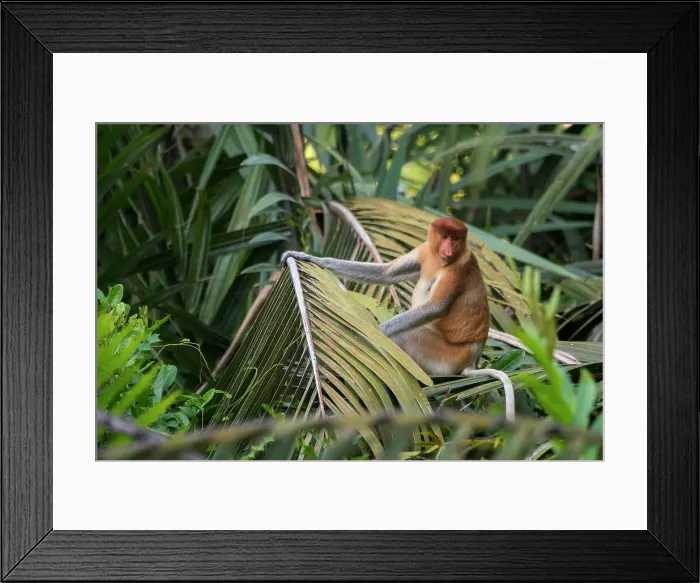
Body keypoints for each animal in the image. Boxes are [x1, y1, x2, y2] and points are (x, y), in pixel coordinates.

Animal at [280, 217, 515, 421]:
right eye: (445, 236)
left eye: (456, 239)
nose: (448, 250)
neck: (441, 260)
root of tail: (472, 360)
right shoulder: (424, 250)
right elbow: (387, 273)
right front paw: (308, 257)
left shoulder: (458, 268)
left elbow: (435, 307)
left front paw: (366, 333)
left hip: (447, 357)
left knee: (406, 338)